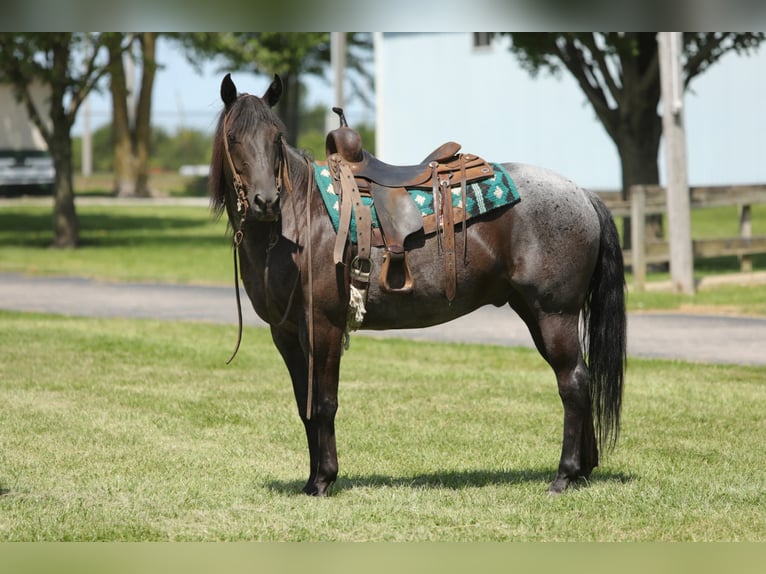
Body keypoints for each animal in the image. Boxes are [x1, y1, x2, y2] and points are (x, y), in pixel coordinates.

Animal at [212, 73, 632, 500]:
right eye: (233, 137)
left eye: (275, 137)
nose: (266, 200)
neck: (299, 219)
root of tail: (582, 193)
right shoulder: (285, 332)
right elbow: (305, 405)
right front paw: (312, 480)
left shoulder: (323, 326)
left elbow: (325, 403)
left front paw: (325, 479)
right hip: (535, 314)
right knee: (579, 378)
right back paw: (583, 470)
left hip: (554, 313)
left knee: (573, 382)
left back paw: (564, 475)